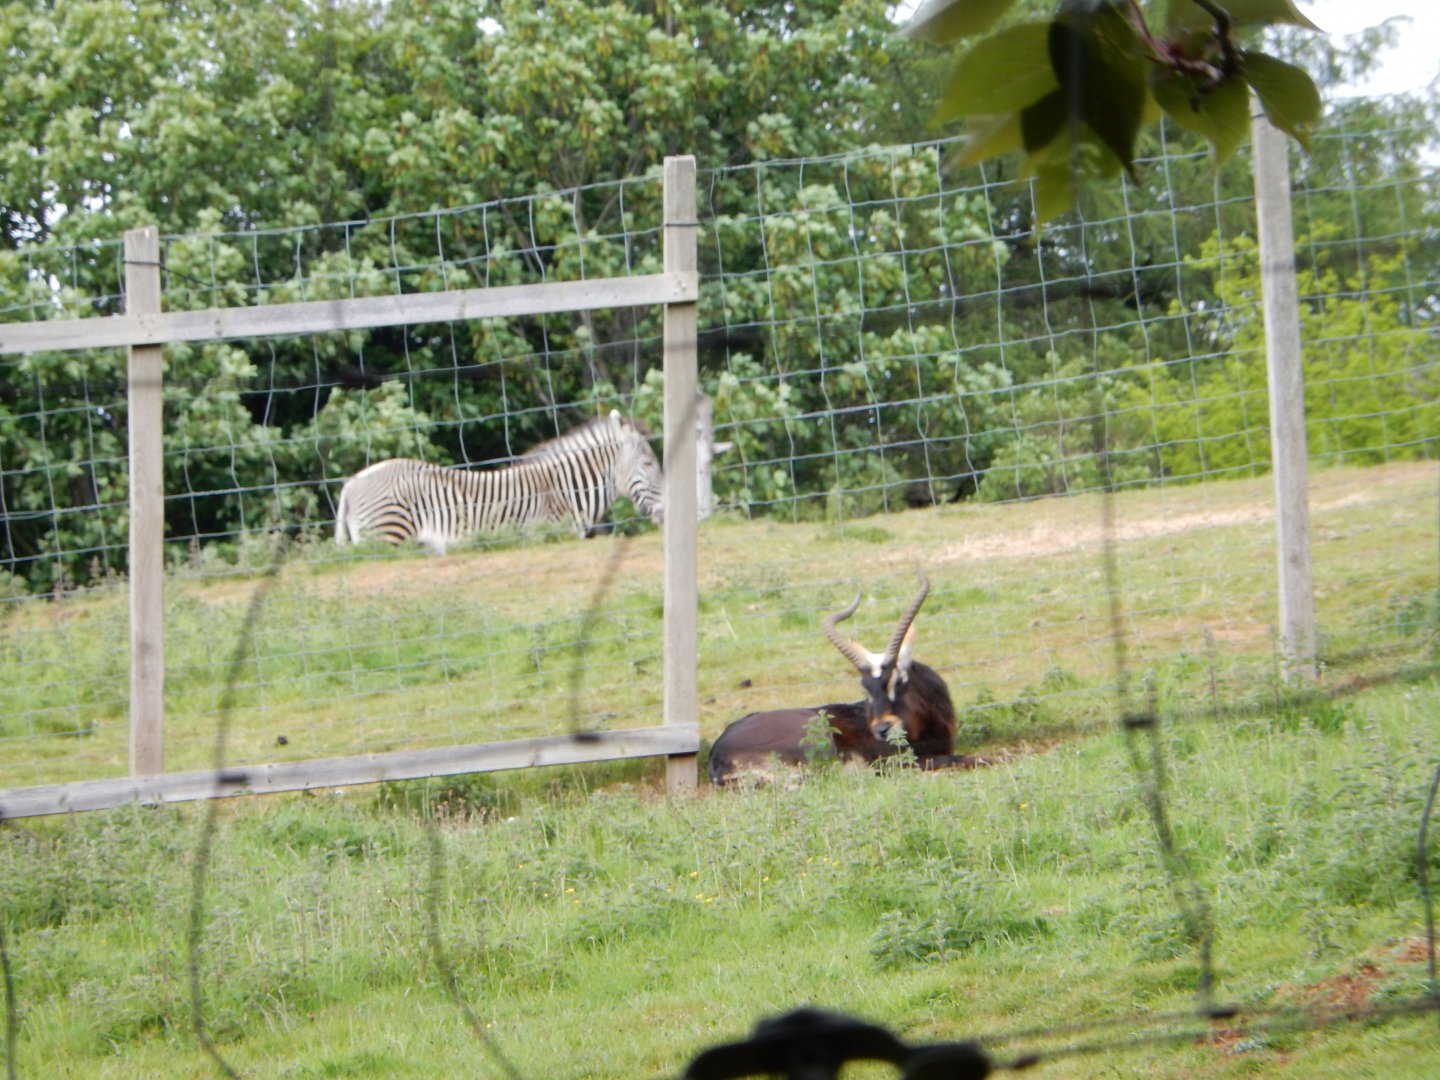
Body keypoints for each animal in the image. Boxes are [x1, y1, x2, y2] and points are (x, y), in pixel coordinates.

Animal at [334, 411, 664, 554]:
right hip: (387, 536)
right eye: (649, 464)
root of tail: (353, 482)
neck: (565, 490)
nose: (668, 510)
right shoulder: (542, 536)